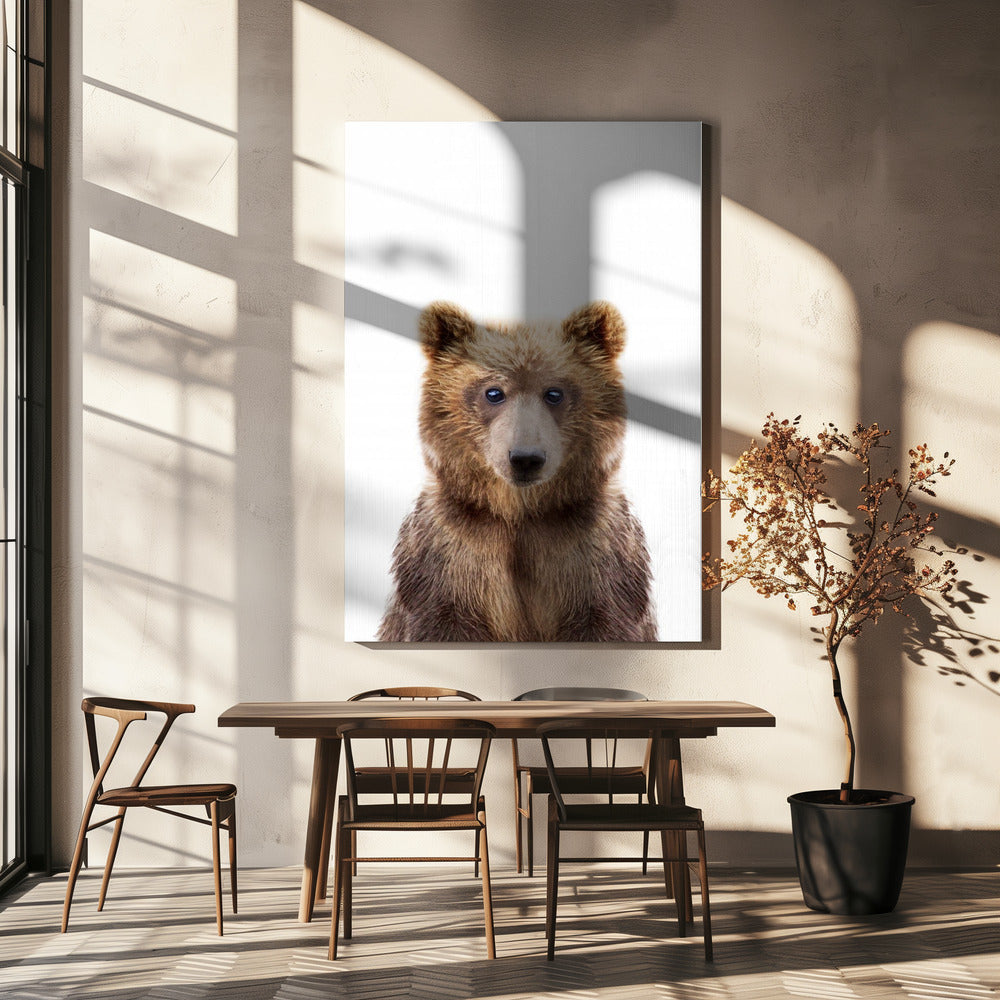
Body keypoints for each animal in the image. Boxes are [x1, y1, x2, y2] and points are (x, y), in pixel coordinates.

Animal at [376, 300, 657, 643]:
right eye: (493, 392)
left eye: (554, 392)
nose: (525, 458)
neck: (521, 514)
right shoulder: (449, 555)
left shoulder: (595, 555)